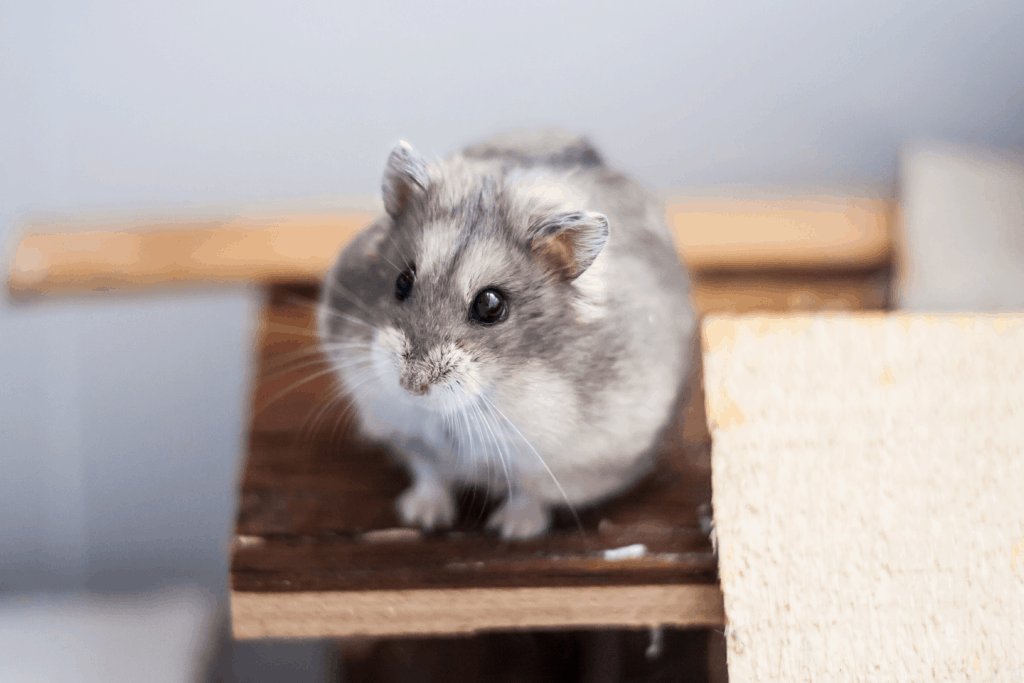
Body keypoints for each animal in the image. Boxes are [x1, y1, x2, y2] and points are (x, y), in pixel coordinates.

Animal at [317, 129, 696, 540]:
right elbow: (430, 475)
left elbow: (530, 492)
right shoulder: (408, 437)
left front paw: (512, 532)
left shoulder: (570, 462)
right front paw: (422, 518)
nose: (412, 385)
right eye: (402, 281)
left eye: (490, 305)